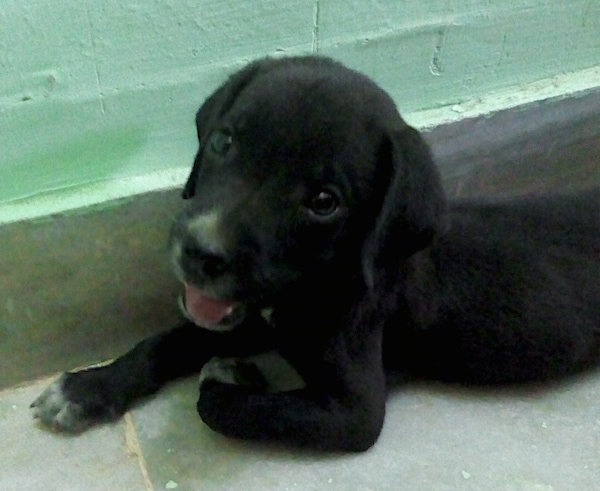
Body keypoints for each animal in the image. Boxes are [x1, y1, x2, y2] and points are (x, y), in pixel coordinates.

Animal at [30, 55, 596, 452]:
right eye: (222, 143)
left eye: (325, 201)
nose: (198, 254)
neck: (314, 285)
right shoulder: (255, 313)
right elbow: (168, 340)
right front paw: (88, 388)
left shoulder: (355, 414)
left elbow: (225, 407)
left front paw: (228, 380)